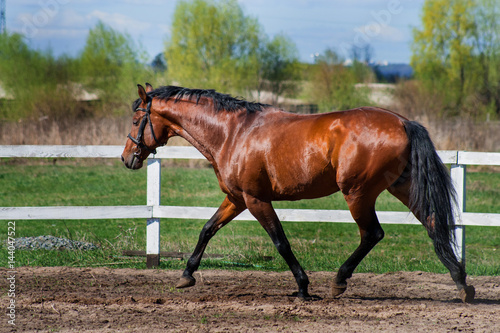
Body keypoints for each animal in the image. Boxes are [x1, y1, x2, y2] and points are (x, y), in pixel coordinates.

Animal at [122, 83, 476, 300]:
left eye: (137, 118)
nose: (127, 158)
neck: (233, 133)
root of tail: (403, 122)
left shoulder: (256, 199)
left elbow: (280, 242)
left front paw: (304, 287)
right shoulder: (236, 199)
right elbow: (207, 229)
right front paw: (186, 275)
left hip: (358, 193)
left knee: (372, 234)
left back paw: (339, 281)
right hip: (401, 186)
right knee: (433, 223)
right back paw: (462, 284)